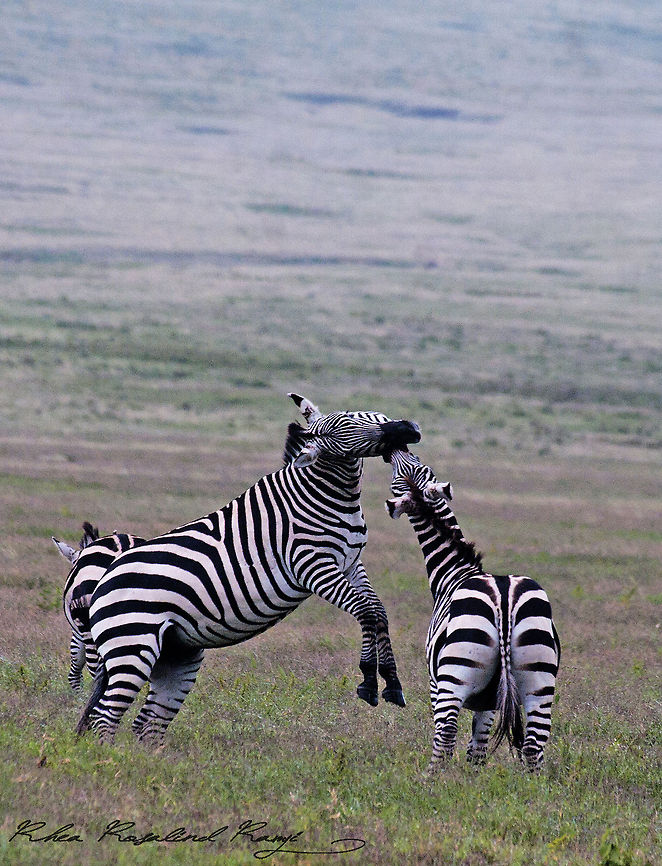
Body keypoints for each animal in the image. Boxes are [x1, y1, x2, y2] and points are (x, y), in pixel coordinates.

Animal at [77, 394, 421, 745]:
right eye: (347, 427)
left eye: (374, 415)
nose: (411, 428)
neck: (332, 496)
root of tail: (104, 577)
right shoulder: (311, 565)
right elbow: (365, 611)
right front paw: (368, 681)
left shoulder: (351, 563)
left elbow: (378, 611)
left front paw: (392, 682)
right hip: (132, 644)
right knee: (106, 716)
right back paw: (110, 758)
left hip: (177, 654)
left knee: (147, 723)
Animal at [385, 449, 560, 773]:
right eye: (421, 466)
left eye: (407, 469)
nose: (395, 450)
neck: (456, 571)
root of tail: (503, 599)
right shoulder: (490, 701)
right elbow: (477, 748)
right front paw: (473, 780)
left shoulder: (435, 684)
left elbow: (456, 739)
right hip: (539, 680)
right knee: (534, 744)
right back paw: (533, 786)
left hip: (454, 676)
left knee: (445, 734)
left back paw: (429, 780)